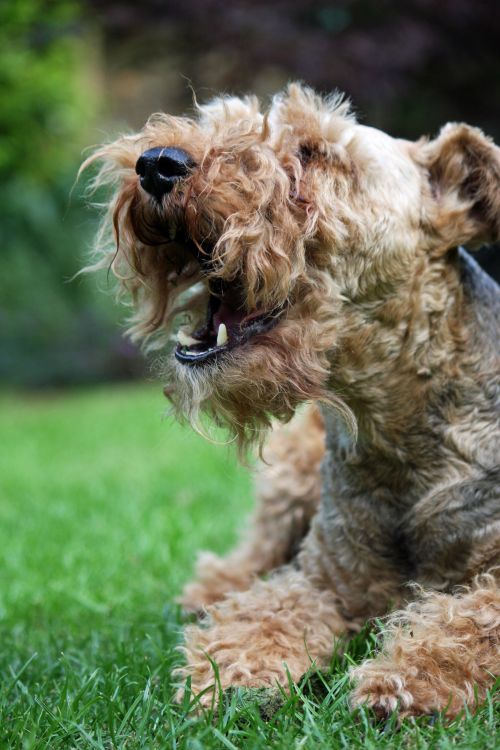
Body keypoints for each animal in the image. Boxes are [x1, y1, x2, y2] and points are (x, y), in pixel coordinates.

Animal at [88, 85, 500, 720]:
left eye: (313, 151)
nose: (156, 163)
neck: (396, 434)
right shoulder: (324, 577)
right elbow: (266, 610)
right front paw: (227, 676)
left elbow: (472, 619)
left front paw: (406, 679)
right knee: (252, 555)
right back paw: (209, 590)